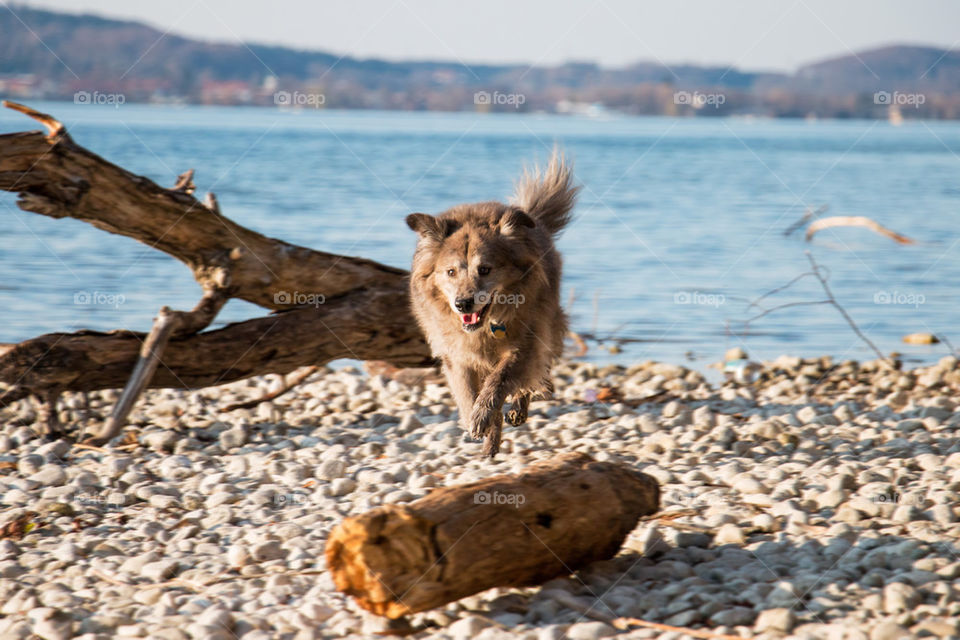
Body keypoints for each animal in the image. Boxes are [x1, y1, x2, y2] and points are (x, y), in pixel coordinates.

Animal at [404, 152, 576, 458]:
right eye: (450, 272)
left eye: (484, 269)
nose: (462, 304)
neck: (485, 328)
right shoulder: (457, 356)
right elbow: (468, 394)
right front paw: (482, 427)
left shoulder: (526, 343)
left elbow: (501, 380)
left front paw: (483, 414)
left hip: (549, 324)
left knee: (537, 372)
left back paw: (520, 407)